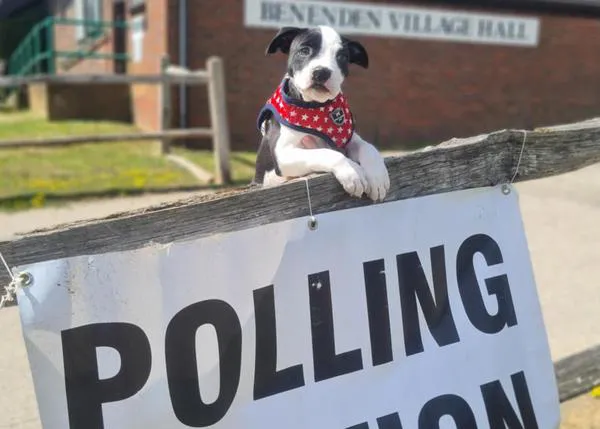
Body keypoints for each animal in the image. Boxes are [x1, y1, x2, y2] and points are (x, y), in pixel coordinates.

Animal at [252, 24, 390, 201]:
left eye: (342, 57)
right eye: (304, 50)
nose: (322, 72)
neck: (315, 105)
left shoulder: (348, 139)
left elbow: (368, 146)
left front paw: (378, 177)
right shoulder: (283, 154)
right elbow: (325, 153)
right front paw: (353, 172)